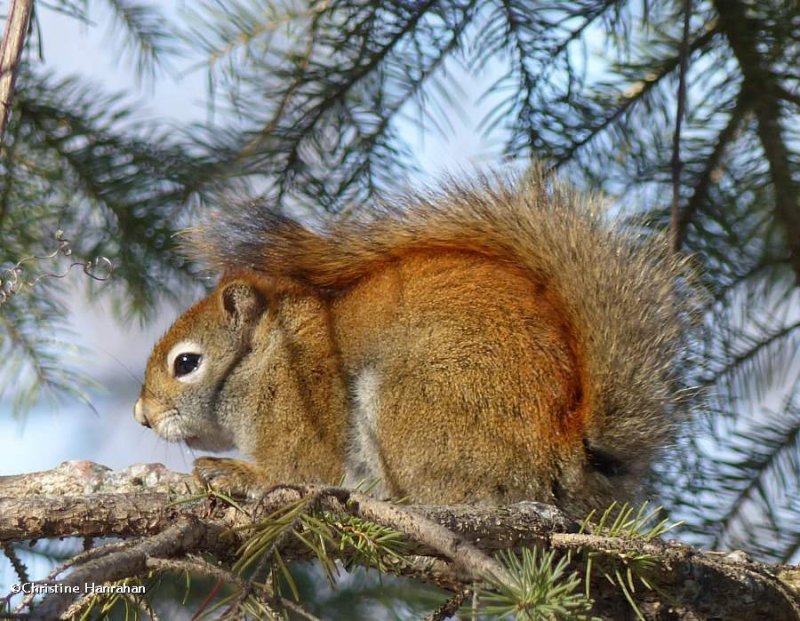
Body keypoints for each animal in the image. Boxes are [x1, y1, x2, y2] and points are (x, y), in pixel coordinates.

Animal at [133, 170, 688, 512]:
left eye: (187, 363)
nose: (142, 416)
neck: (265, 358)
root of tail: (565, 445)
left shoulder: (302, 408)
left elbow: (295, 469)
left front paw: (234, 474)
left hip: (416, 403)